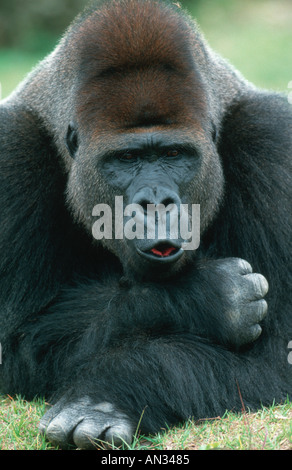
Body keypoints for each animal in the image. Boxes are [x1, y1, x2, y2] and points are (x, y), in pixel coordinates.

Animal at [0, 0, 292, 450]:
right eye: (127, 159)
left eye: (173, 154)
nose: (155, 203)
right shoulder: (10, 149)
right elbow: (15, 342)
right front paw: (204, 298)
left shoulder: (273, 139)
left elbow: (276, 353)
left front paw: (106, 395)